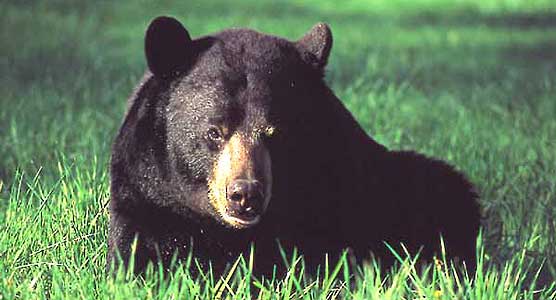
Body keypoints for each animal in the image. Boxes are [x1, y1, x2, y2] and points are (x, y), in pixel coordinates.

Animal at [107, 15, 478, 276]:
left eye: (277, 133)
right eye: (214, 132)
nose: (245, 194)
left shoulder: (337, 188)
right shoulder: (145, 193)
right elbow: (142, 250)